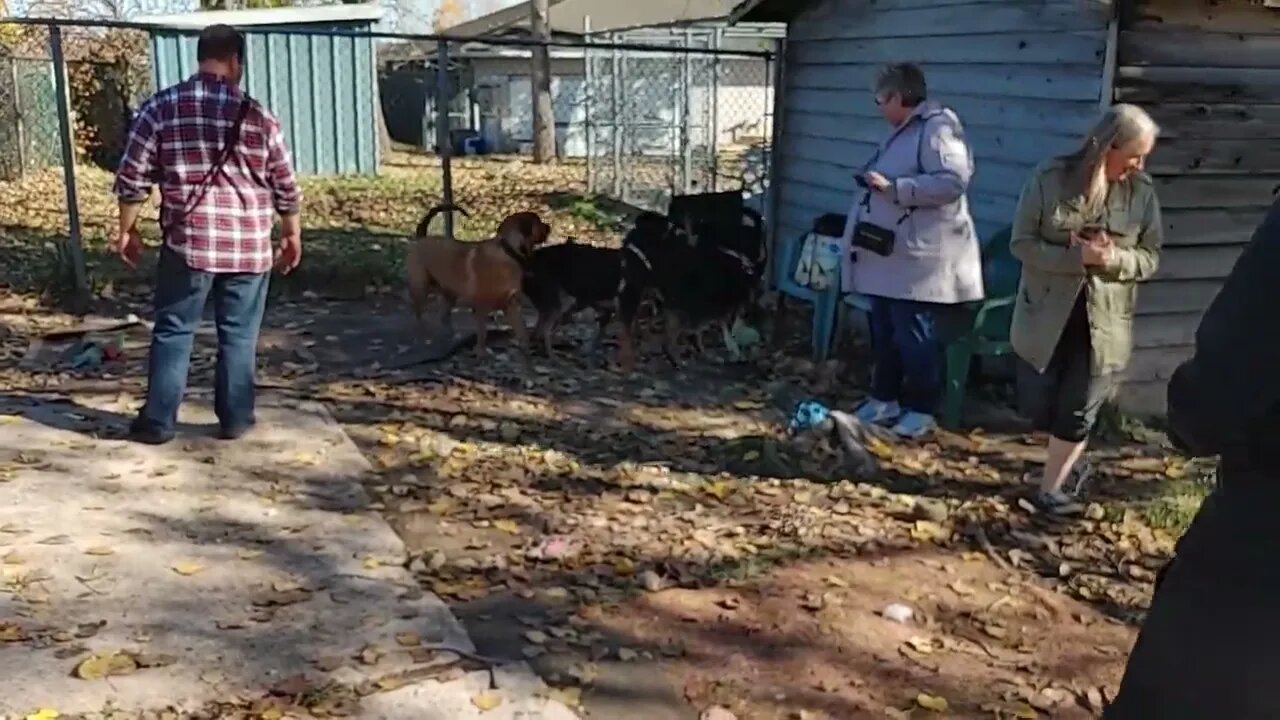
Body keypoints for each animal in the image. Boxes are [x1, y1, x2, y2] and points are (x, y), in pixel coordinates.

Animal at [407, 203, 552, 356]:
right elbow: (482, 334)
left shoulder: (512, 305)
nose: (549, 226)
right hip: (420, 287)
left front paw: (526, 350)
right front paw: (481, 353)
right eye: (537, 222)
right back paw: (423, 333)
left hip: (449, 293)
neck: (507, 251)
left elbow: (522, 332)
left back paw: (450, 336)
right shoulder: (481, 307)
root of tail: (421, 238)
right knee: (418, 313)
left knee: (443, 316)